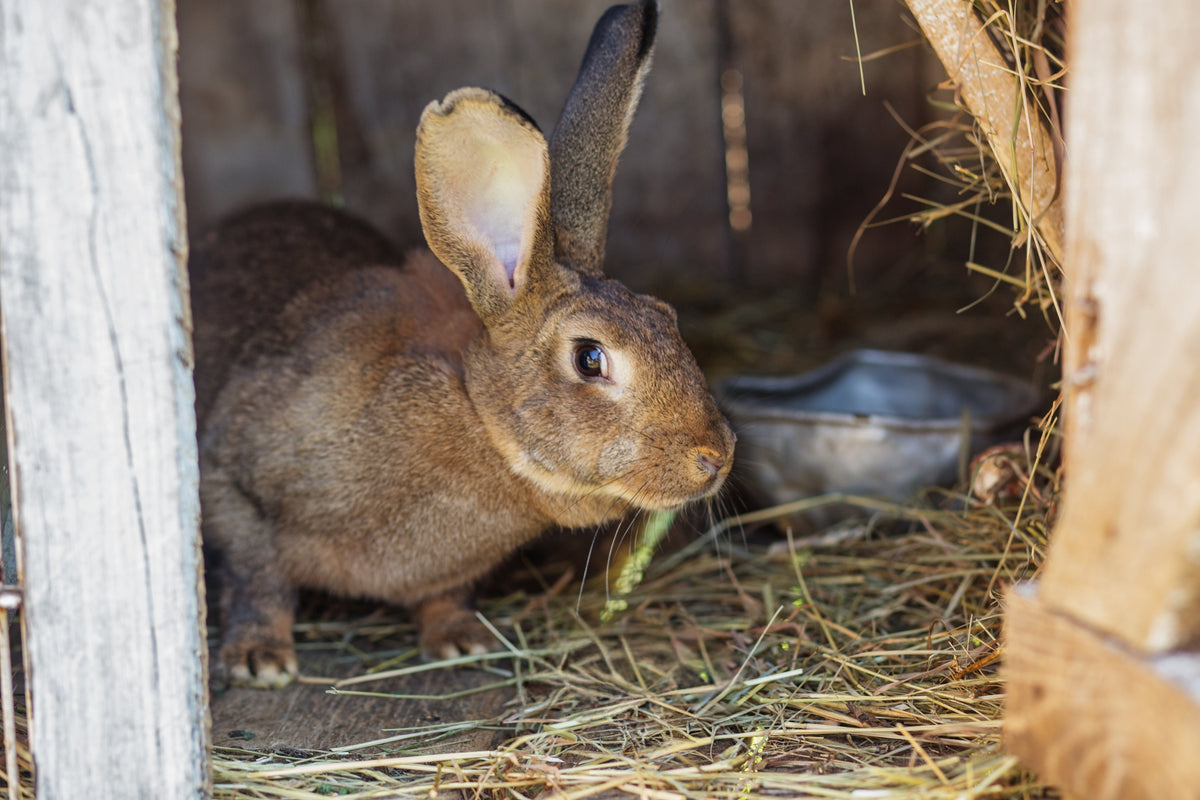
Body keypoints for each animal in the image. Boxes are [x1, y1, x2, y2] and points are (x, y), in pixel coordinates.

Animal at [192, 0, 735, 689]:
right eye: (590, 358)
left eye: (668, 318)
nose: (716, 456)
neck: (478, 417)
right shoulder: (233, 475)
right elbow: (257, 578)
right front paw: (260, 659)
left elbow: (443, 595)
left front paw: (458, 640)